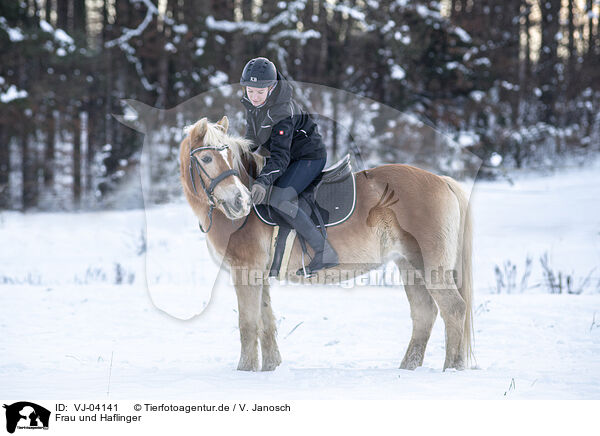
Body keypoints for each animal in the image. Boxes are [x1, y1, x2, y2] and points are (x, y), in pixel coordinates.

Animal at [178, 115, 474, 372]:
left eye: (229, 156)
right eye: (207, 157)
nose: (241, 201)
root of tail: (442, 181)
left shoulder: (245, 271)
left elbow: (248, 325)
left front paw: (245, 370)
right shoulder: (258, 274)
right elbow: (266, 323)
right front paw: (270, 368)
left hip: (432, 267)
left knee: (454, 309)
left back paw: (452, 368)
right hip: (409, 265)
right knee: (425, 314)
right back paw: (409, 368)